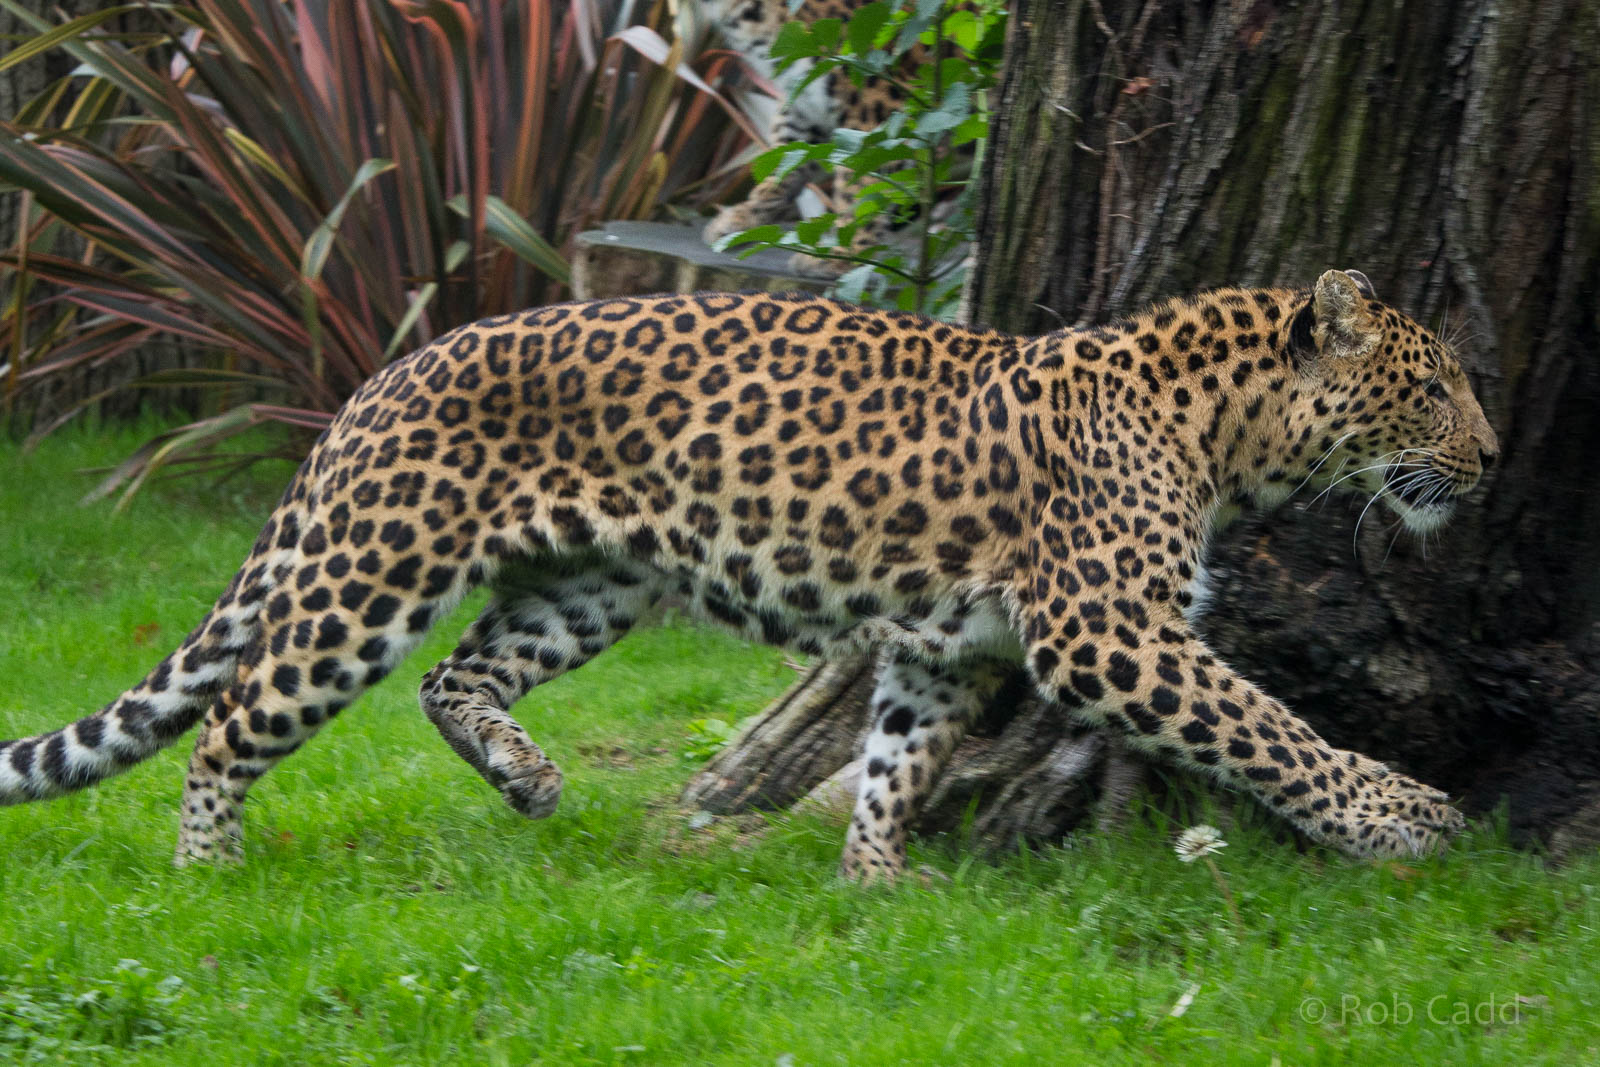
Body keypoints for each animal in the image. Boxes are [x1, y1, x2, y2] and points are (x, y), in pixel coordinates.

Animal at [0, 269, 1499, 880]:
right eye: (1432, 386)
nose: (1490, 458)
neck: (1229, 434)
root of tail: (385, 371)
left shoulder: (941, 642)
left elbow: (898, 754)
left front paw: (875, 879)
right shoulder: (1105, 631)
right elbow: (1269, 725)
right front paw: (1399, 818)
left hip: (590, 584)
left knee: (456, 675)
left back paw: (529, 778)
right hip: (371, 569)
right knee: (235, 713)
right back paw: (209, 868)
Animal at [698, 0, 920, 276]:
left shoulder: (879, 98)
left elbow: (861, 185)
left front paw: (846, 255)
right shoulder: (805, 99)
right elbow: (788, 158)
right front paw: (743, 220)